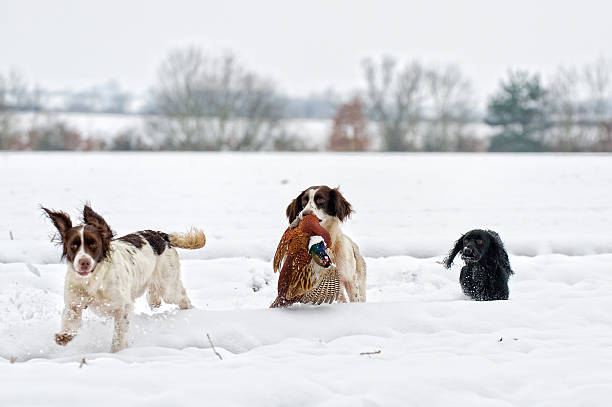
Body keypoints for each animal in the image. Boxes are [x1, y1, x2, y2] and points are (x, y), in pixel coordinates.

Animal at [43, 206, 207, 352]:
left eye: (93, 244)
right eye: (74, 245)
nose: (84, 262)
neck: (94, 281)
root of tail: (161, 235)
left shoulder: (123, 307)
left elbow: (118, 336)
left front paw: (117, 353)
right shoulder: (74, 303)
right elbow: (70, 321)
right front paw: (64, 336)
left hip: (168, 286)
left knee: (182, 297)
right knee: (154, 295)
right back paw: (154, 300)